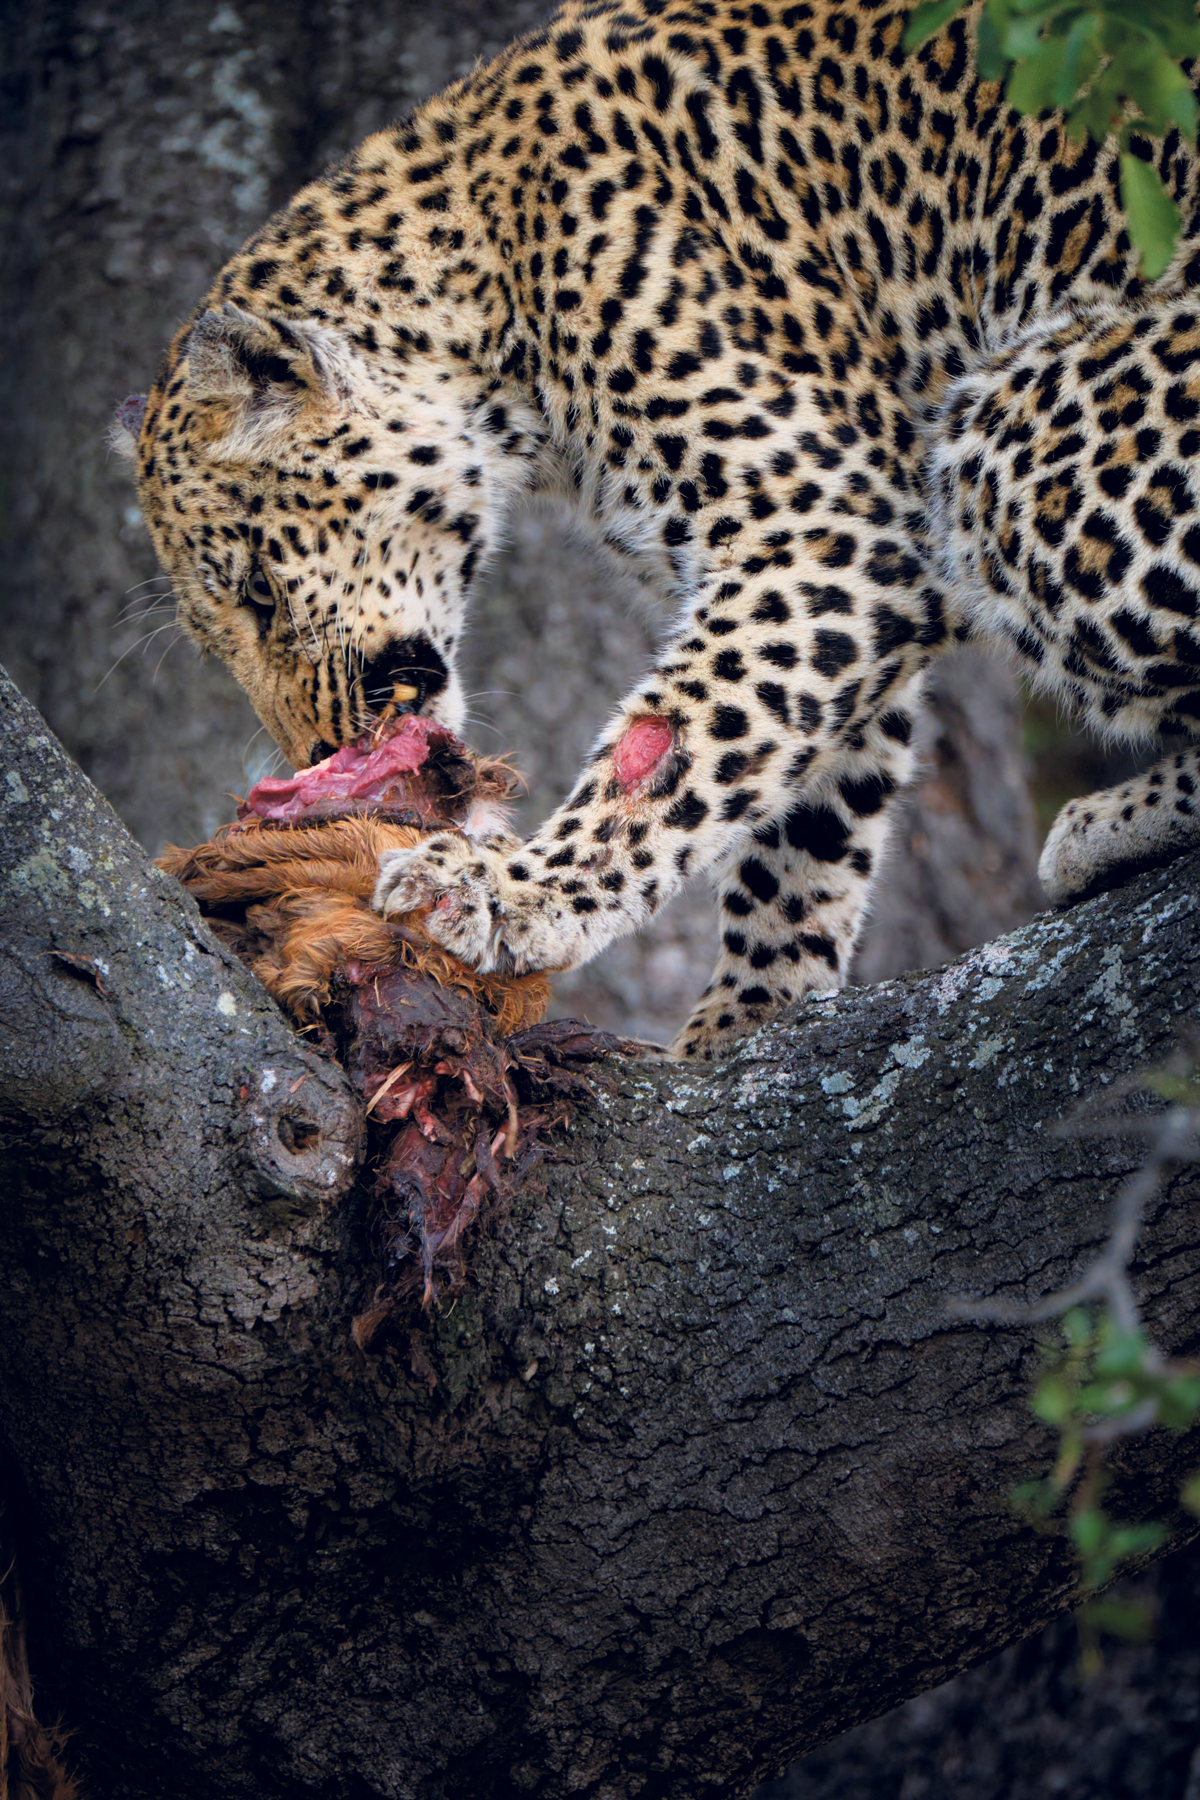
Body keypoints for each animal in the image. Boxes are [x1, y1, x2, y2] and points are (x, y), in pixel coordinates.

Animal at [115, 0, 1200, 1051]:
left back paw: (1106, 823)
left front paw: (514, 892)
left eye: (261, 591)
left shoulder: (830, 522)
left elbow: (686, 739)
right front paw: (739, 1028)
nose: (317, 752)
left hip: (1010, 441)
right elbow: (803, 815)